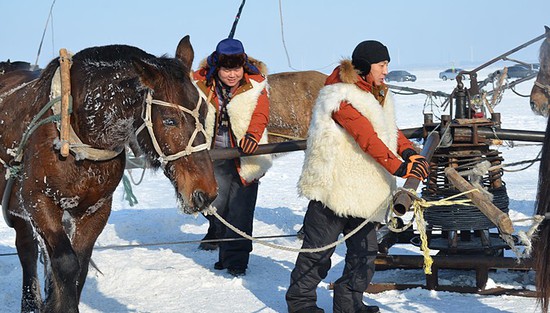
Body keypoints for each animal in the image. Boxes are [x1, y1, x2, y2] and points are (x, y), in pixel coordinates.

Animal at [1, 35, 219, 310]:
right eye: (170, 119)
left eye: (205, 113)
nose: (206, 192)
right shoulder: (38, 200)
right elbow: (66, 263)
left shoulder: (96, 209)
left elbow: (79, 267)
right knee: (27, 248)